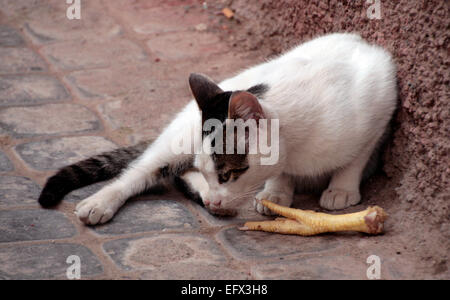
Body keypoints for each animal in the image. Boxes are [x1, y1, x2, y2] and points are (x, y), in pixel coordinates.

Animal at [39, 32, 398, 225]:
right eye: (216, 174)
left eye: (226, 175)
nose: (213, 200)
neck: (298, 149)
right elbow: (281, 172)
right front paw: (277, 191)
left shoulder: (381, 97)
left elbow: (357, 155)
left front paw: (341, 188)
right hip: (179, 137)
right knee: (141, 171)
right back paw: (101, 202)